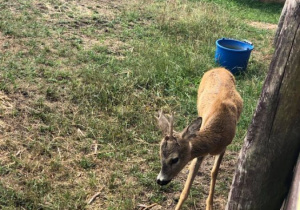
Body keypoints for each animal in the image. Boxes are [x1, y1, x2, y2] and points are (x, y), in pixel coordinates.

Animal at [156, 67, 243, 210]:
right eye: (160, 155)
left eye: (175, 159)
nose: (160, 180)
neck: (217, 134)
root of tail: (219, 68)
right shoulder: (200, 155)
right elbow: (186, 189)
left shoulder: (224, 147)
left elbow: (214, 172)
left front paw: (209, 205)